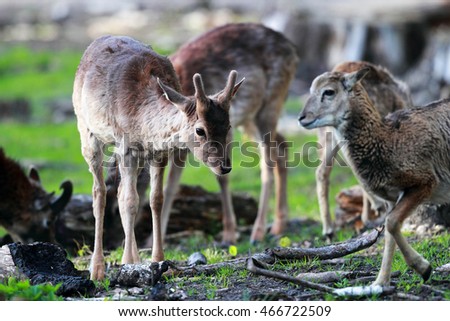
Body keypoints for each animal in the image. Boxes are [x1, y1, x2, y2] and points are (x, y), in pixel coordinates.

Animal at [73, 35, 243, 278]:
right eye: (200, 130)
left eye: (228, 126)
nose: (224, 166)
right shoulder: (126, 148)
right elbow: (130, 201)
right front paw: (125, 262)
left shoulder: (159, 153)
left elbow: (155, 199)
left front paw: (158, 260)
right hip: (86, 131)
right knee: (100, 193)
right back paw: (97, 268)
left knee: (121, 191)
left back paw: (134, 259)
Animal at [162, 23, 298, 242]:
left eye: (201, 129)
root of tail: (293, 49)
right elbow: (170, 187)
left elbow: (220, 178)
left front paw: (229, 234)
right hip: (251, 118)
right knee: (282, 146)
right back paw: (278, 225)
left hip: (271, 104)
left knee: (267, 162)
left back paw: (258, 231)